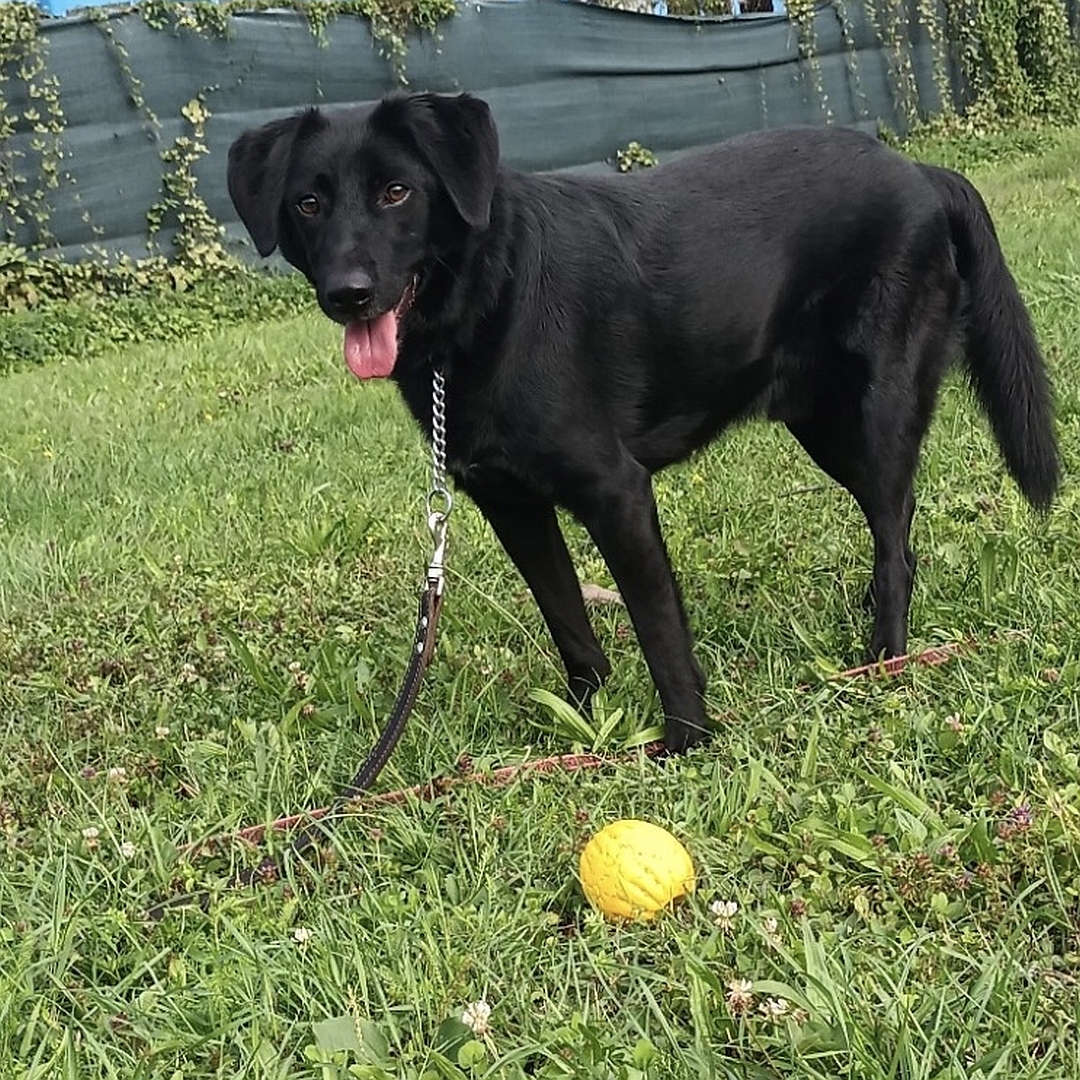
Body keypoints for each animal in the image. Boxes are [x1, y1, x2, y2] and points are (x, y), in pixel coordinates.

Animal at [225, 92, 1054, 751]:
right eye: (308, 204)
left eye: (397, 192)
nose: (348, 294)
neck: (486, 302)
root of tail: (920, 170)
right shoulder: (510, 505)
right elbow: (567, 619)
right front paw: (587, 718)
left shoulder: (615, 493)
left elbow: (658, 627)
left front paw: (686, 738)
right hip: (822, 425)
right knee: (896, 526)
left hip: (877, 410)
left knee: (893, 530)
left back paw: (884, 655)